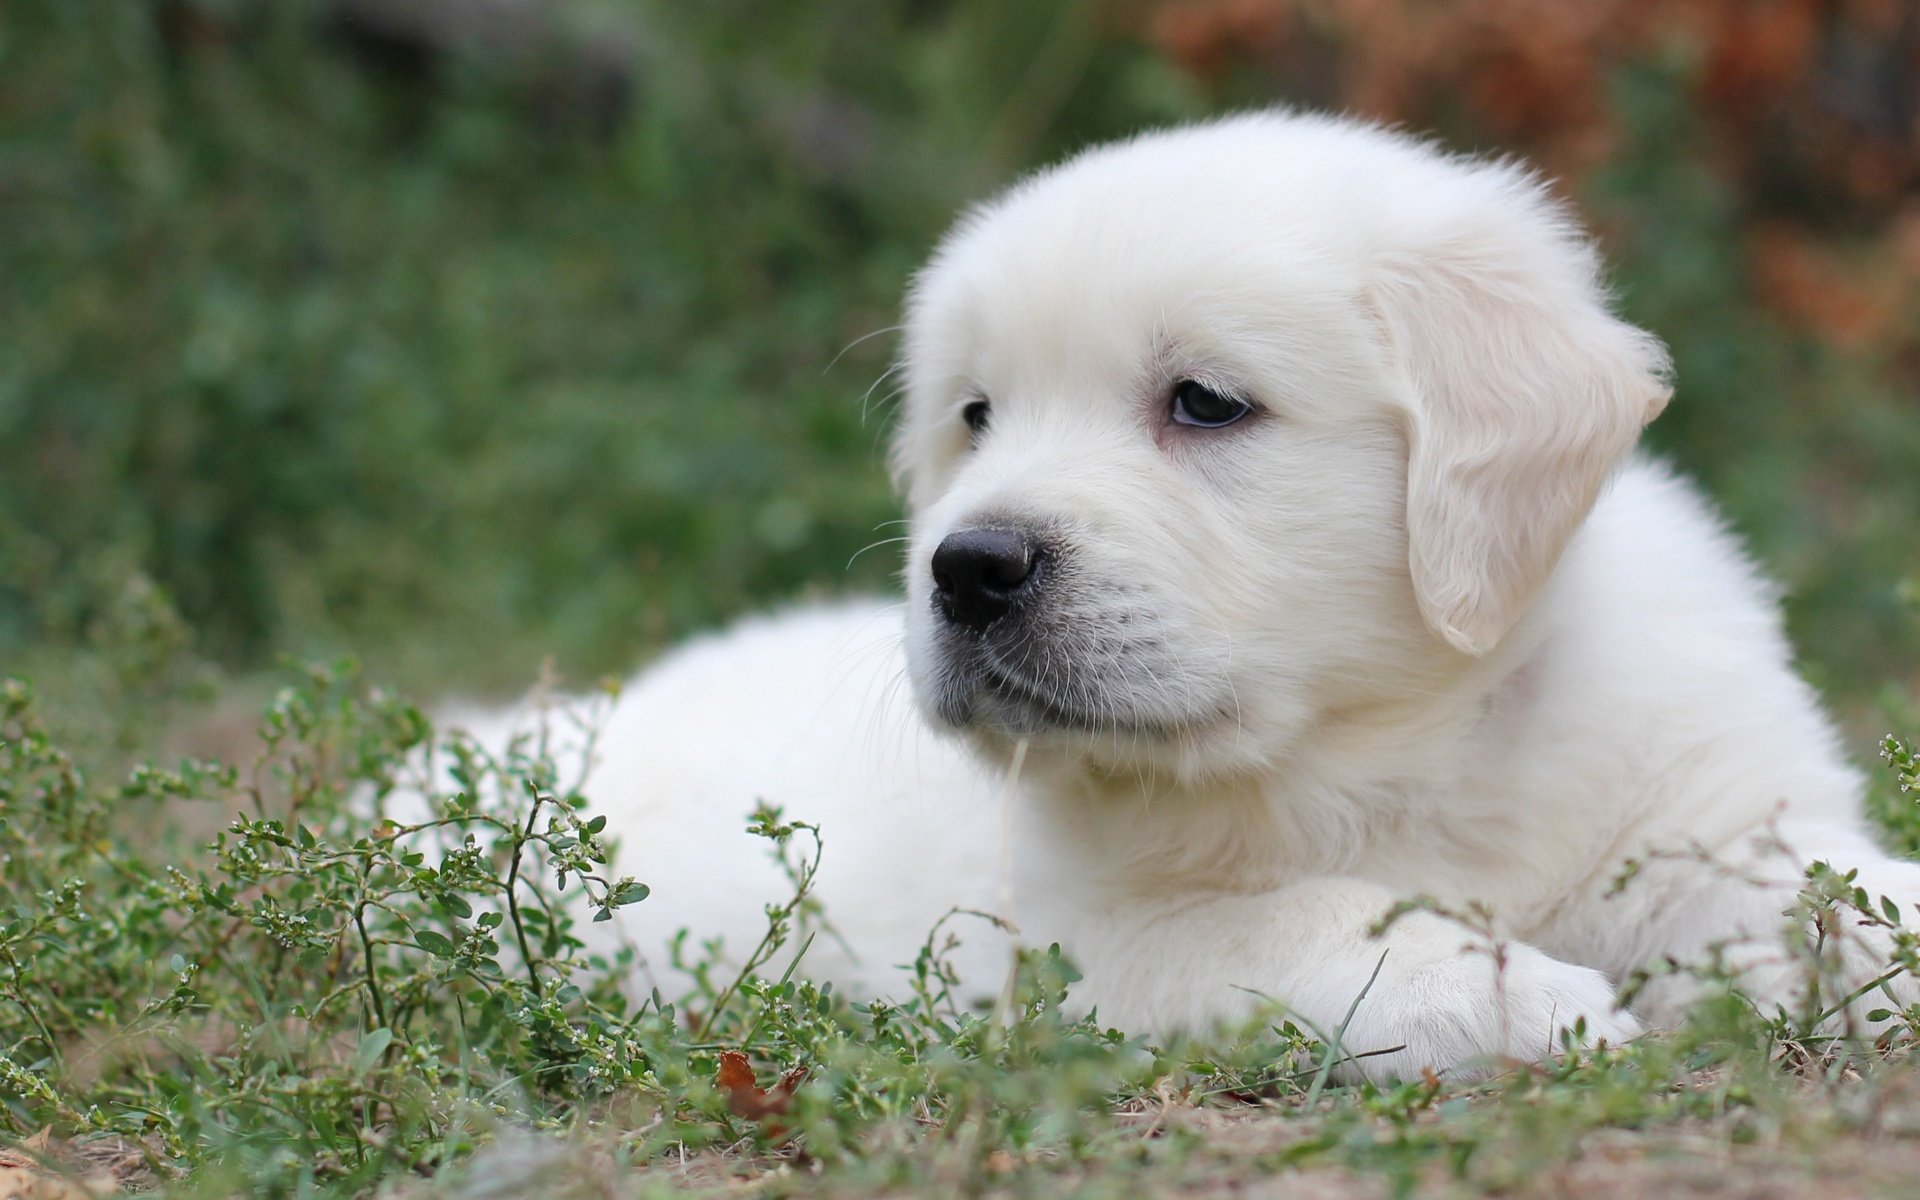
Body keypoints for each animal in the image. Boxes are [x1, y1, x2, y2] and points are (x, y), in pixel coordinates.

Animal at [480, 114, 1920, 1075]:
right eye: (976, 417)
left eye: (1206, 403)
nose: (968, 566)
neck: (1403, 739)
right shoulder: (1088, 940)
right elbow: (1302, 922)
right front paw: (1509, 994)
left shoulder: (1707, 810)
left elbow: (1828, 888)